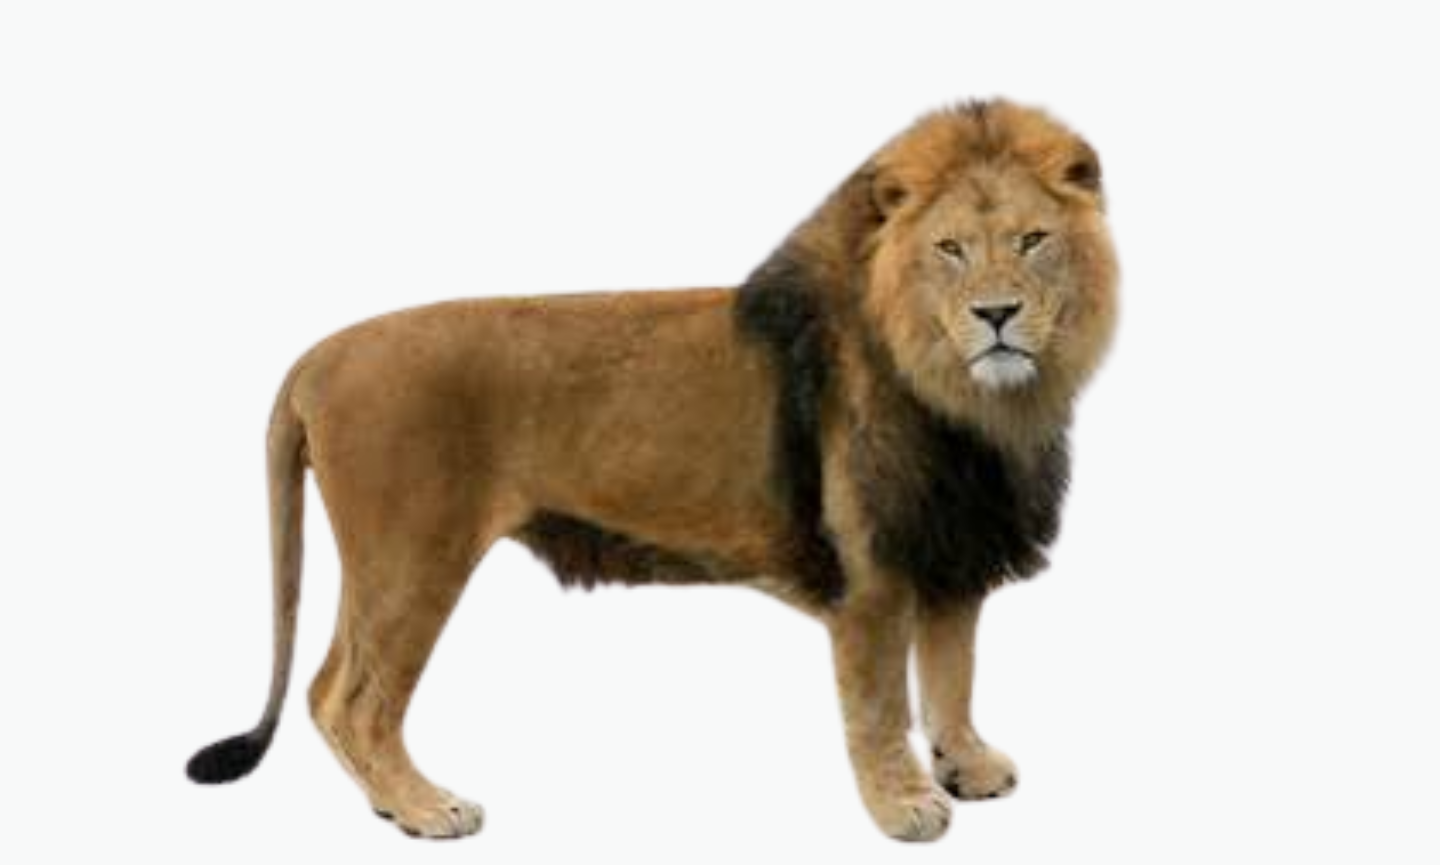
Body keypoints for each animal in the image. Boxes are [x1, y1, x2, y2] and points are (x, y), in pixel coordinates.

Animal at [187, 99, 1118, 843]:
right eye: (950, 249)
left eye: (1033, 241)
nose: (996, 314)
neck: (973, 403)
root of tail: (316, 355)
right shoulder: (871, 572)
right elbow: (882, 702)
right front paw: (905, 805)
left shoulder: (951, 547)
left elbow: (954, 674)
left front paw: (968, 766)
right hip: (413, 558)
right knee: (354, 698)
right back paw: (424, 808)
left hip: (383, 564)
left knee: (324, 688)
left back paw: (390, 803)